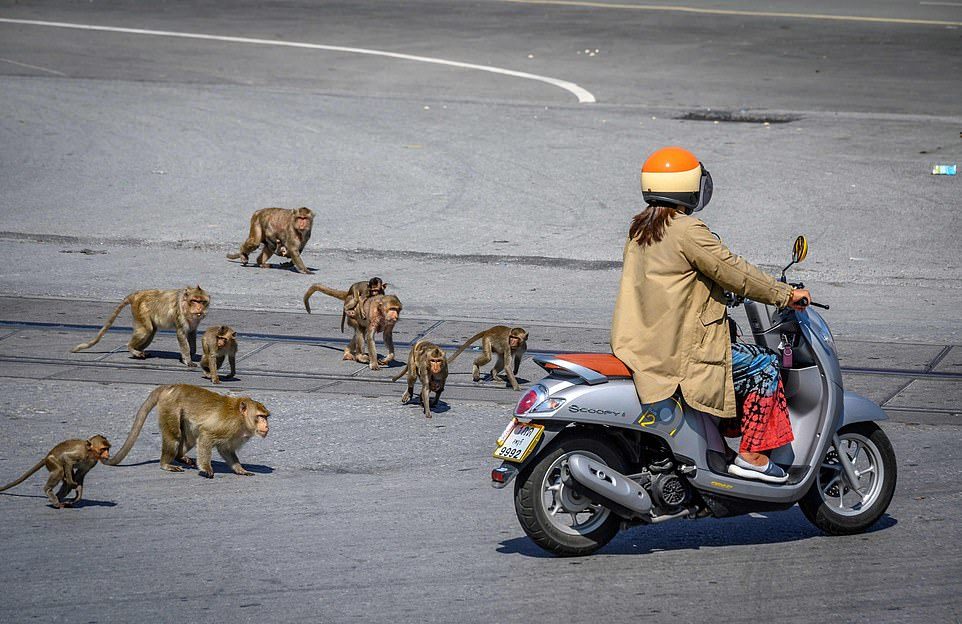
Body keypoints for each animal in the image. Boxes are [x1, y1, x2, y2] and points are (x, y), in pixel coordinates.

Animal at [71, 286, 212, 368]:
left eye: (202, 301)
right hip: (140, 310)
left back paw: (138, 351)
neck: (185, 305)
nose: (199, 308)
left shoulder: (194, 322)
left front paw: (189, 355)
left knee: (151, 331)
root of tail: (136, 295)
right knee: (146, 330)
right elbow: (182, 334)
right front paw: (187, 360)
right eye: (194, 301)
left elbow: (192, 334)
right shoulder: (180, 315)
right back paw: (132, 349)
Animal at [106, 382, 268, 480]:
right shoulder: (227, 425)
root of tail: (170, 387)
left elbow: (225, 449)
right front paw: (206, 468)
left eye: (266, 417)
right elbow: (205, 436)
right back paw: (166, 464)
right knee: (174, 436)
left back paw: (180, 456)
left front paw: (240, 469)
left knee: (189, 438)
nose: (267, 426)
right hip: (170, 408)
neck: (241, 419)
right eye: (260, 416)